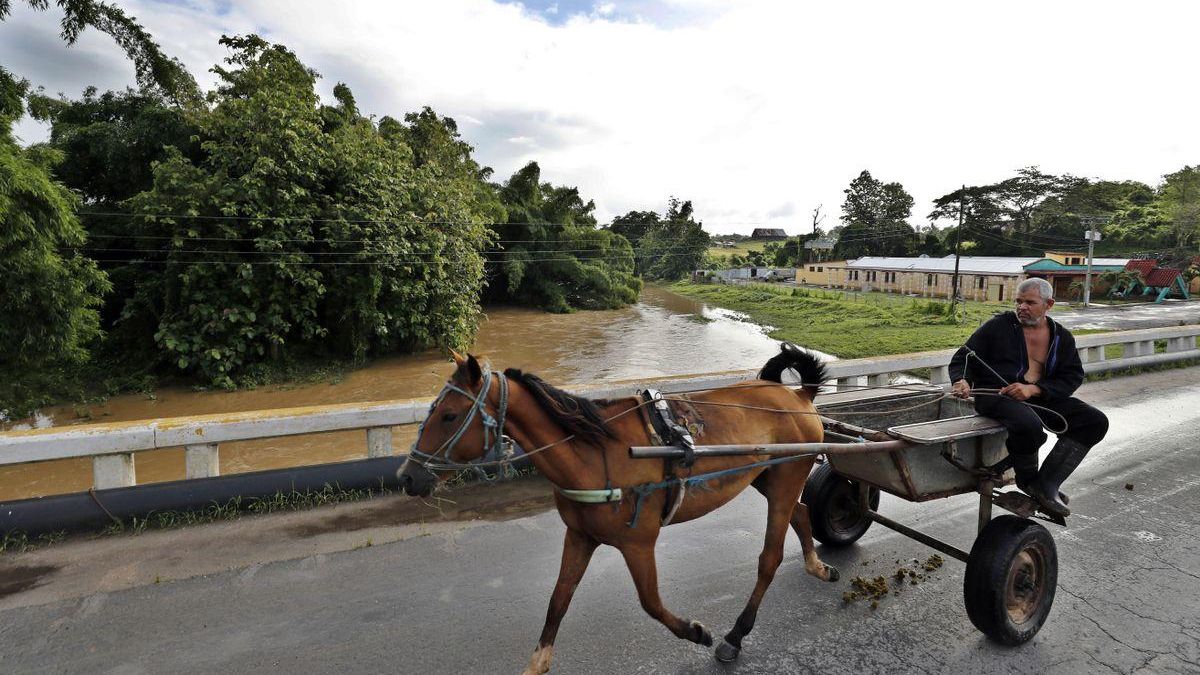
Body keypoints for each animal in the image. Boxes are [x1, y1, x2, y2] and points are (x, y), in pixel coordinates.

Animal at [398, 343, 840, 667]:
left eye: (449, 415)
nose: (407, 476)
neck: (594, 455)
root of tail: (799, 394)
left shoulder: (638, 542)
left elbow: (651, 603)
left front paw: (695, 631)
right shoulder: (579, 535)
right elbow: (558, 600)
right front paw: (538, 662)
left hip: (786, 476)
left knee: (769, 557)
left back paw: (736, 634)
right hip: (769, 476)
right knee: (801, 512)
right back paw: (816, 565)